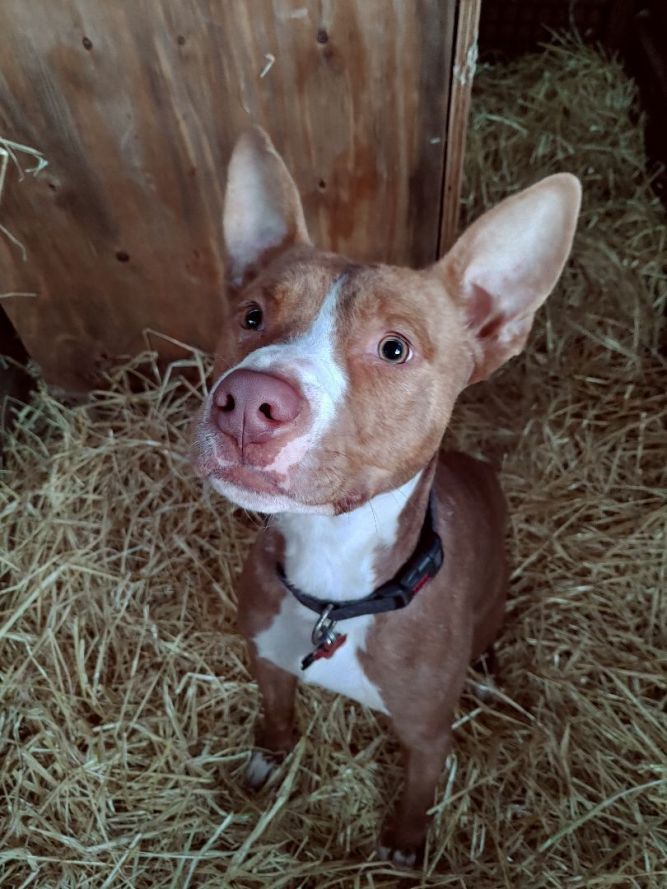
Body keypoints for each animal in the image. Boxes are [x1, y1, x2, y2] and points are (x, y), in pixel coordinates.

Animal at [192, 130, 580, 868]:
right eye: (251, 314)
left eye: (393, 348)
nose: (249, 402)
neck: (333, 583)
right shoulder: (267, 660)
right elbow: (277, 717)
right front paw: (267, 759)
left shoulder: (427, 737)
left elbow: (416, 792)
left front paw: (402, 846)